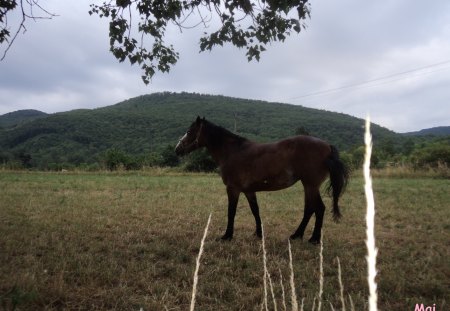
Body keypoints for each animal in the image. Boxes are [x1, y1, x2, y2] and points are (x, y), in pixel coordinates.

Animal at [175, 116, 348, 244]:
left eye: (189, 131)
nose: (177, 149)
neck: (233, 151)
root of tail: (327, 146)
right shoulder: (249, 191)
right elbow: (255, 211)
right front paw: (259, 234)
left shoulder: (233, 189)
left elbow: (231, 212)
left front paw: (227, 236)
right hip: (309, 186)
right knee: (312, 209)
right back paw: (300, 236)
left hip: (310, 185)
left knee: (317, 209)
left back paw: (311, 239)